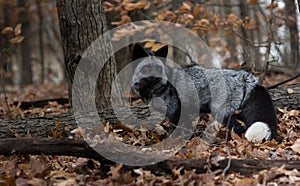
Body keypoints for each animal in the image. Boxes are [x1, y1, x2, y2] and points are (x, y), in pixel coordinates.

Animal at [131, 43, 278, 142]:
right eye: (146, 68)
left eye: (158, 68)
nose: (155, 77)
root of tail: (246, 77)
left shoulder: (175, 112)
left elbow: (176, 131)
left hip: (222, 112)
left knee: (238, 128)